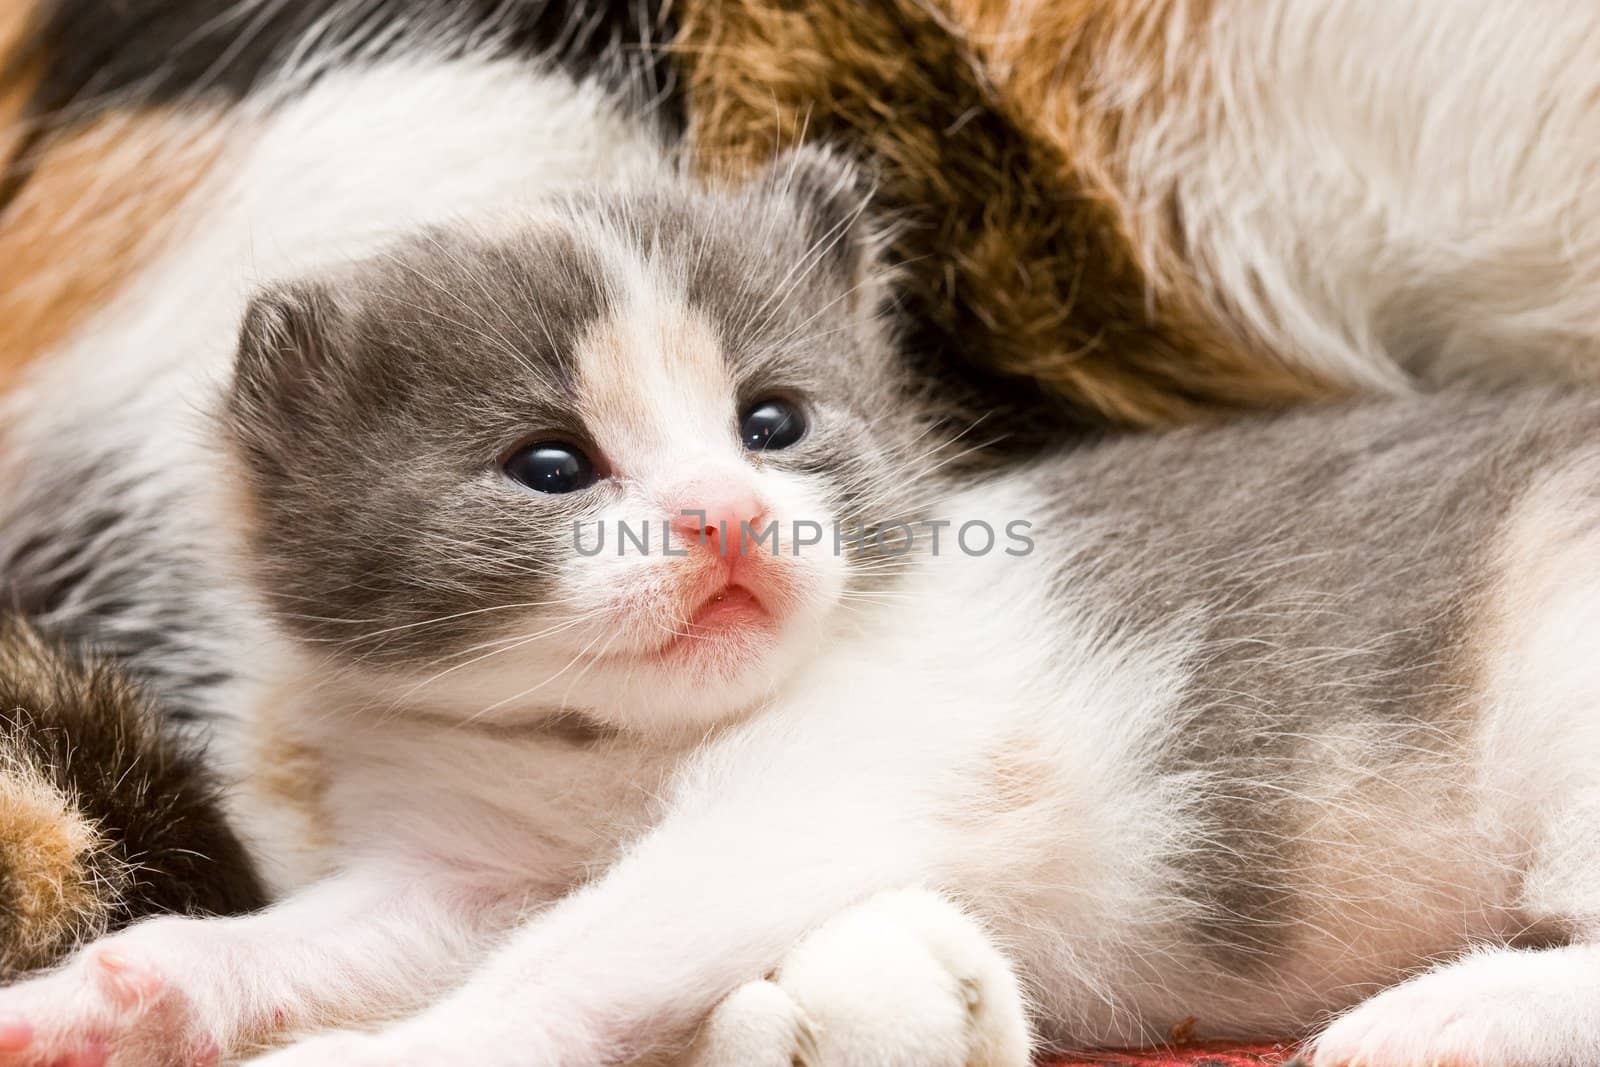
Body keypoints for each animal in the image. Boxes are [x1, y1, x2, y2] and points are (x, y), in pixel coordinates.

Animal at [9, 147, 1600, 1067]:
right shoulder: (464, 862)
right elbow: (336, 931)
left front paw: (383, 1056)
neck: (622, 742)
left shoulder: (819, 785)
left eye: (771, 421)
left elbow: (586, 948)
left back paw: (1449, 1012)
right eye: (550, 464)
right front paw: (109, 991)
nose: (727, 514)